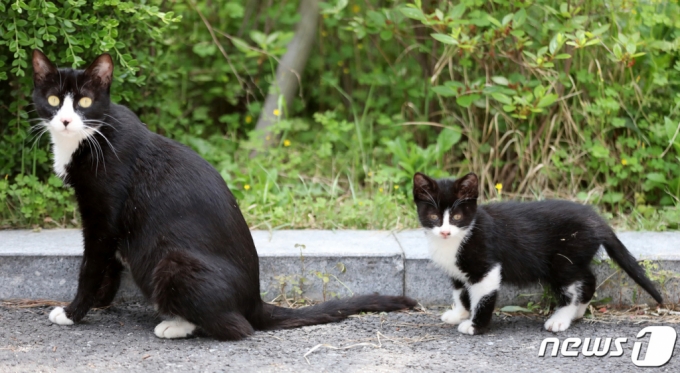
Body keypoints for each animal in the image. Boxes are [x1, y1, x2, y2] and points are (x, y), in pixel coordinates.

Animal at [31, 49, 418, 340]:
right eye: (53, 100)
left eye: (84, 101)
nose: (65, 120)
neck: (90, 138)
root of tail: (255, 301)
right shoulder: (107, 222)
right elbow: (108, 265)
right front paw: (99, 303)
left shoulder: (104, 216)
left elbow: (90, 266)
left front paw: (72, 313)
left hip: (170, 261)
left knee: (238, 327)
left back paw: (174, 325)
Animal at [412, 171, 660, 334]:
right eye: (433, 217)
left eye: (456, 217)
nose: (445, 231)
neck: (460, 237)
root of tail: (596, 219)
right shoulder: (457, 270)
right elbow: (460, 292)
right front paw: (460, 313)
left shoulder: (486, 267)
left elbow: (482, 297)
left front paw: (474, 325)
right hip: (574, 258)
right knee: (588, 279)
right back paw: (578, 312)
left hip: (564, 260)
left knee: (572, 288)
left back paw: (561, 319)